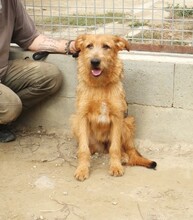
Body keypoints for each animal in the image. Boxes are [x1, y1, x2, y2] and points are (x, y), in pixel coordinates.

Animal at [71, 34, 157, 180]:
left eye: (106, 46)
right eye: (89, 46)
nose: (95, 62)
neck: (100, 86)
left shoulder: (117, 117)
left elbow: (115, 148)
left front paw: (115, 166)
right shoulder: (82, 116)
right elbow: (84, 149)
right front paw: (82, 169)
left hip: (128, 122)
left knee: (124, 149)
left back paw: (123, 156)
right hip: (74, 120)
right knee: (89, 146)